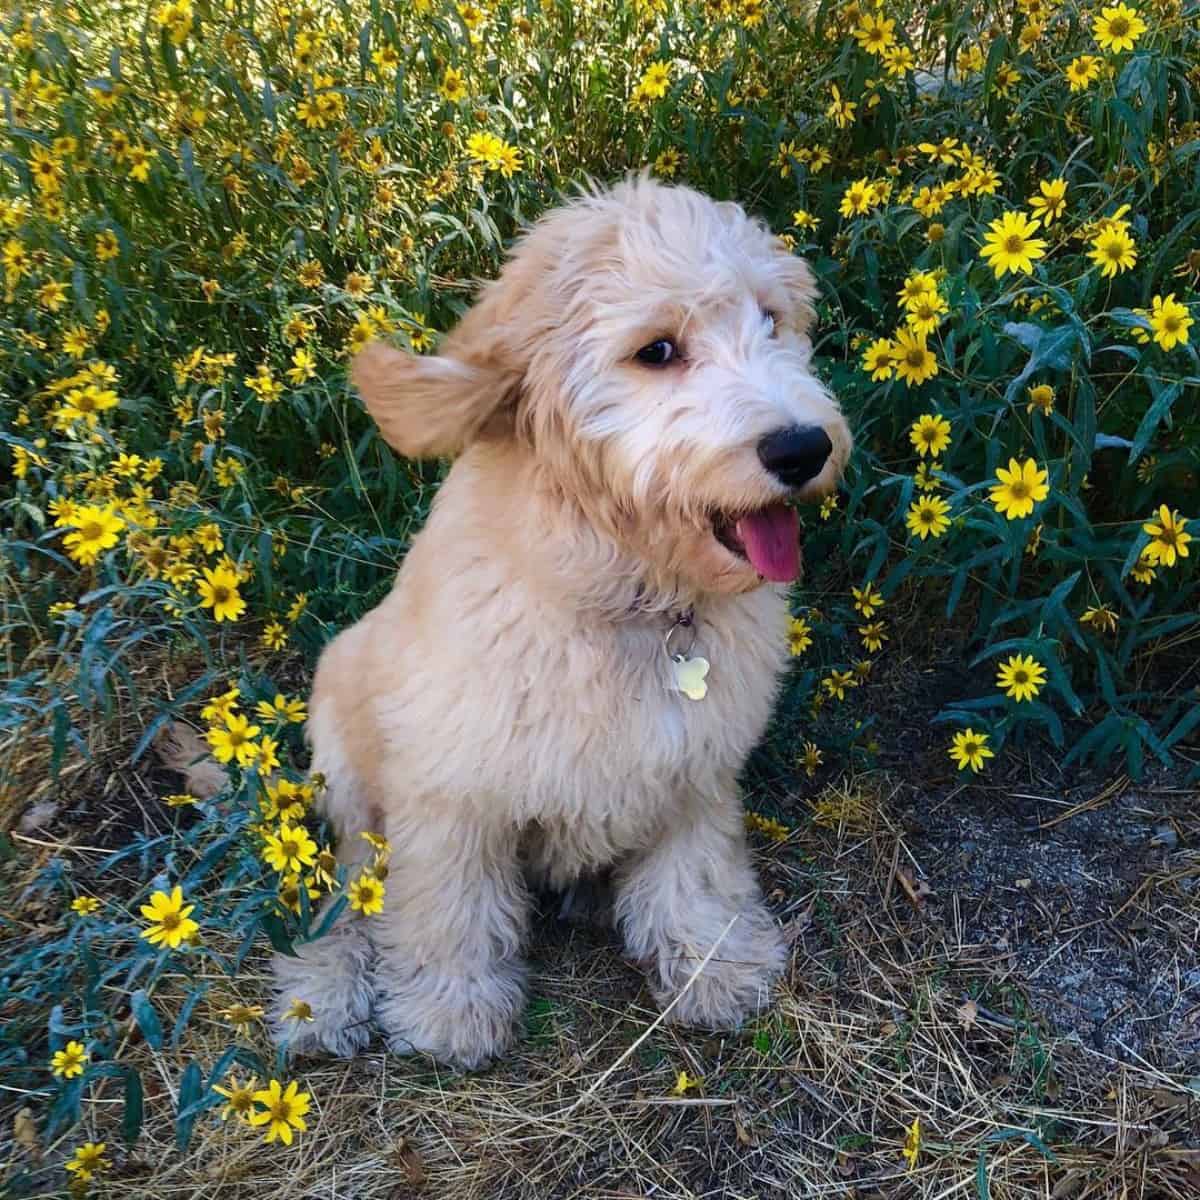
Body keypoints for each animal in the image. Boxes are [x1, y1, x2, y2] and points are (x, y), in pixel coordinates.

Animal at [272, 174, 854, 1065]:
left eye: (771, 320)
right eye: (658, 351)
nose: (802, 448)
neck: (635, 602)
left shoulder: (696, 764)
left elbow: (695, 871)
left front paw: (713, 962)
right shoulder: (448, 788)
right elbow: (447, 903)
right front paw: (449, 1009)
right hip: (346, 738)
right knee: (350, 886)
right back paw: (326, 995)